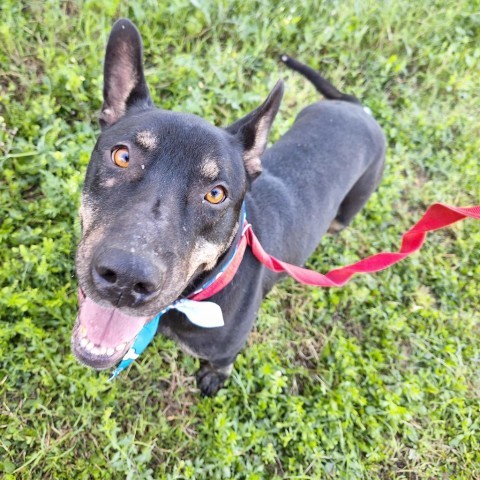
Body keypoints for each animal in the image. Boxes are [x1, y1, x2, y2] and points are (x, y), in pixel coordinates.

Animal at [72, 18, 386, 396]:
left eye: (216, 194)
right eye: (122, 156)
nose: (126, 278)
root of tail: (357, 107)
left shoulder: (226, 347)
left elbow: (222, 363)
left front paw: (213, 378)